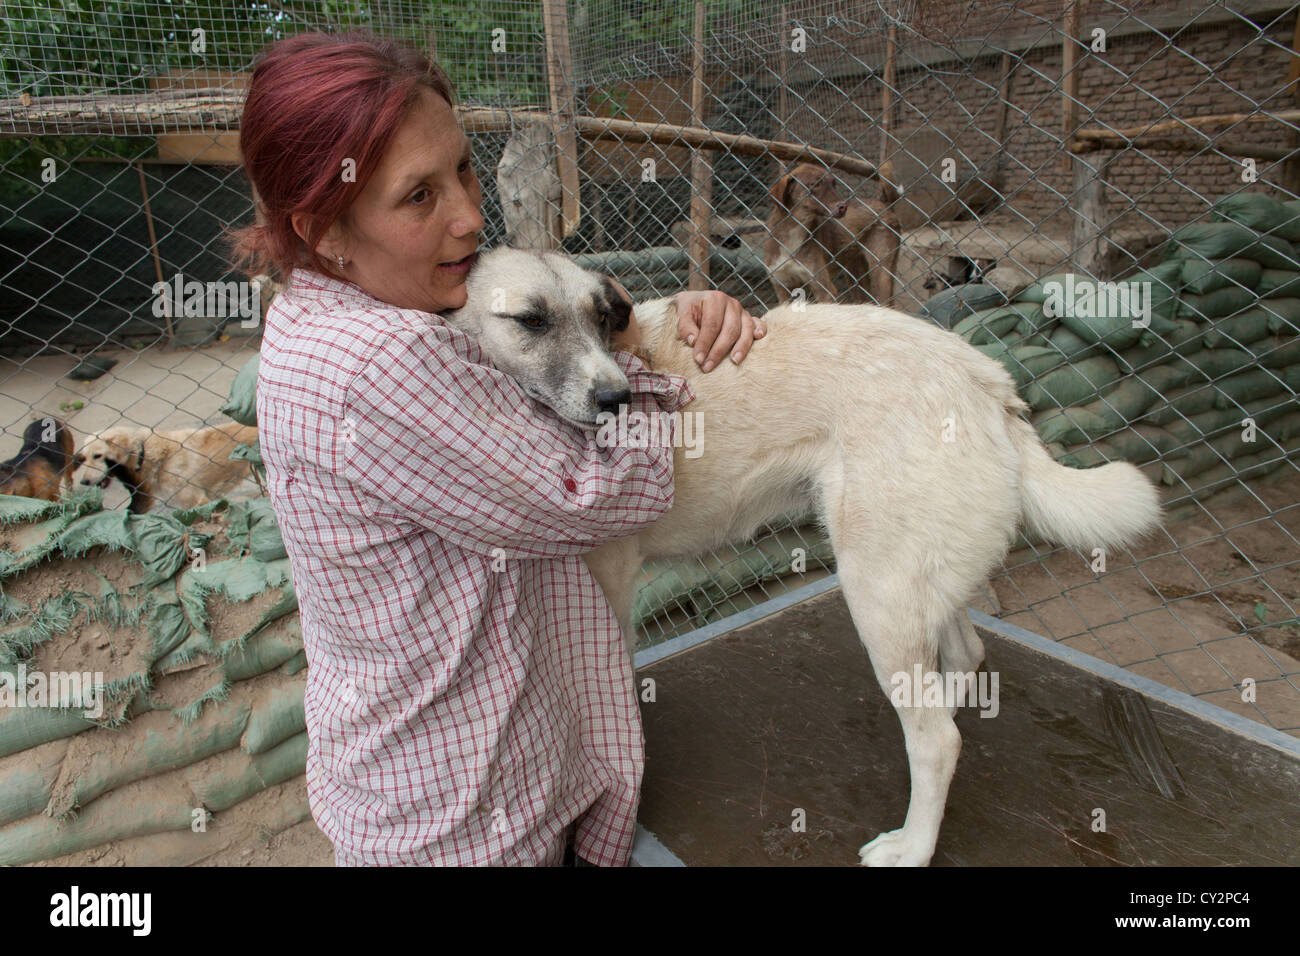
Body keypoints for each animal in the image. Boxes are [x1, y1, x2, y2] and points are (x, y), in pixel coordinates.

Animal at [441, 248, 1164, 868]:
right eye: (531, 320)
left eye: (601, 319)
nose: (618, 400)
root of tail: (986, 383)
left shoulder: (612, 589)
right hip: (919, 581)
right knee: (964, 659)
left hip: (877, 592)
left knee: (937, 741)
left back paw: (912, 846)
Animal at [764, 162, 899, 308]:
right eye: (815, 184)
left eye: (834, 184)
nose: (843, 207)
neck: (793, 231)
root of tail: (885, 204)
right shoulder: (781, 287)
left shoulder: (824, 289)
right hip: (854, 273)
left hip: (881, 271)